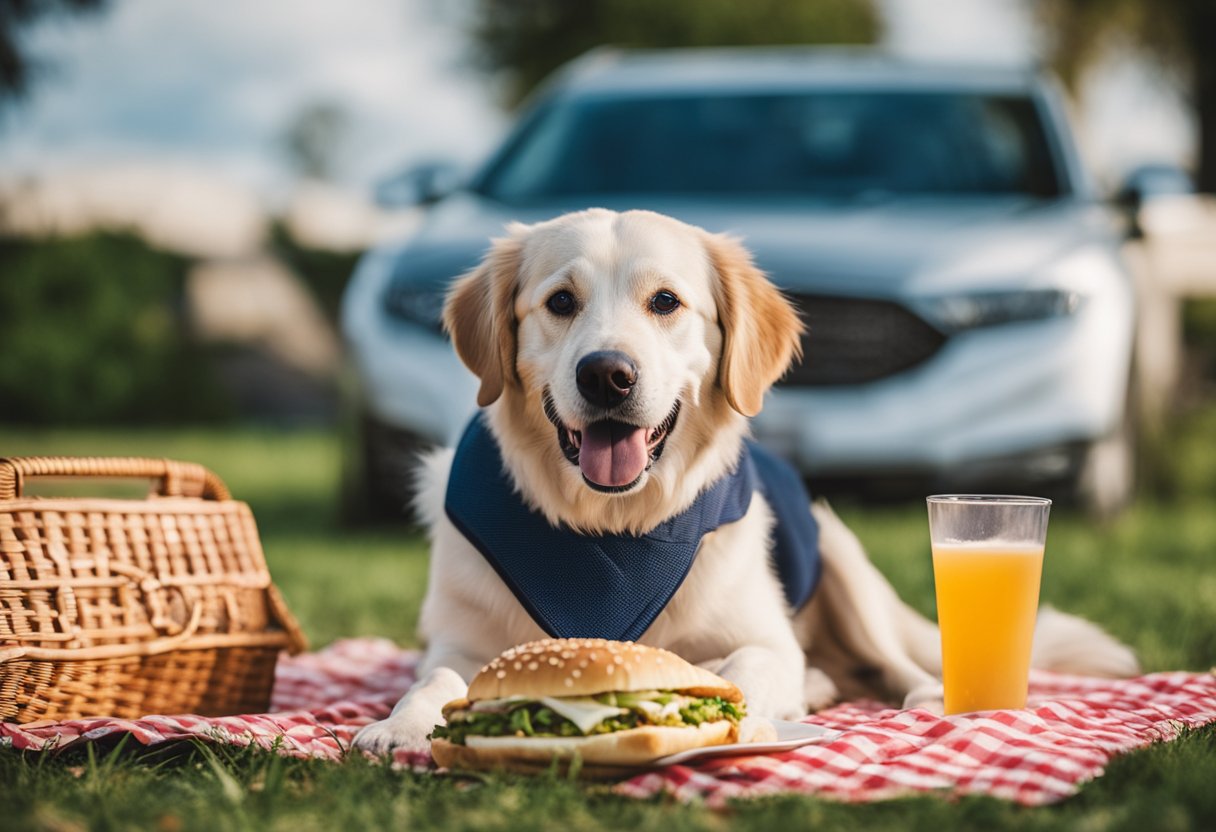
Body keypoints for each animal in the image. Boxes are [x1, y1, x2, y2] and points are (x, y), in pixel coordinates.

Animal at [355, 208, 1138, 754]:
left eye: (665, 302)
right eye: (560, 302)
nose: (608, 374)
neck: (613, 528)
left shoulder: (764, 637)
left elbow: (744, 670)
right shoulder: (458, 642)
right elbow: (438, 678)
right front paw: (402, 725)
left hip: (842, 557)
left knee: (890, 661)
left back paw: (913, 694)